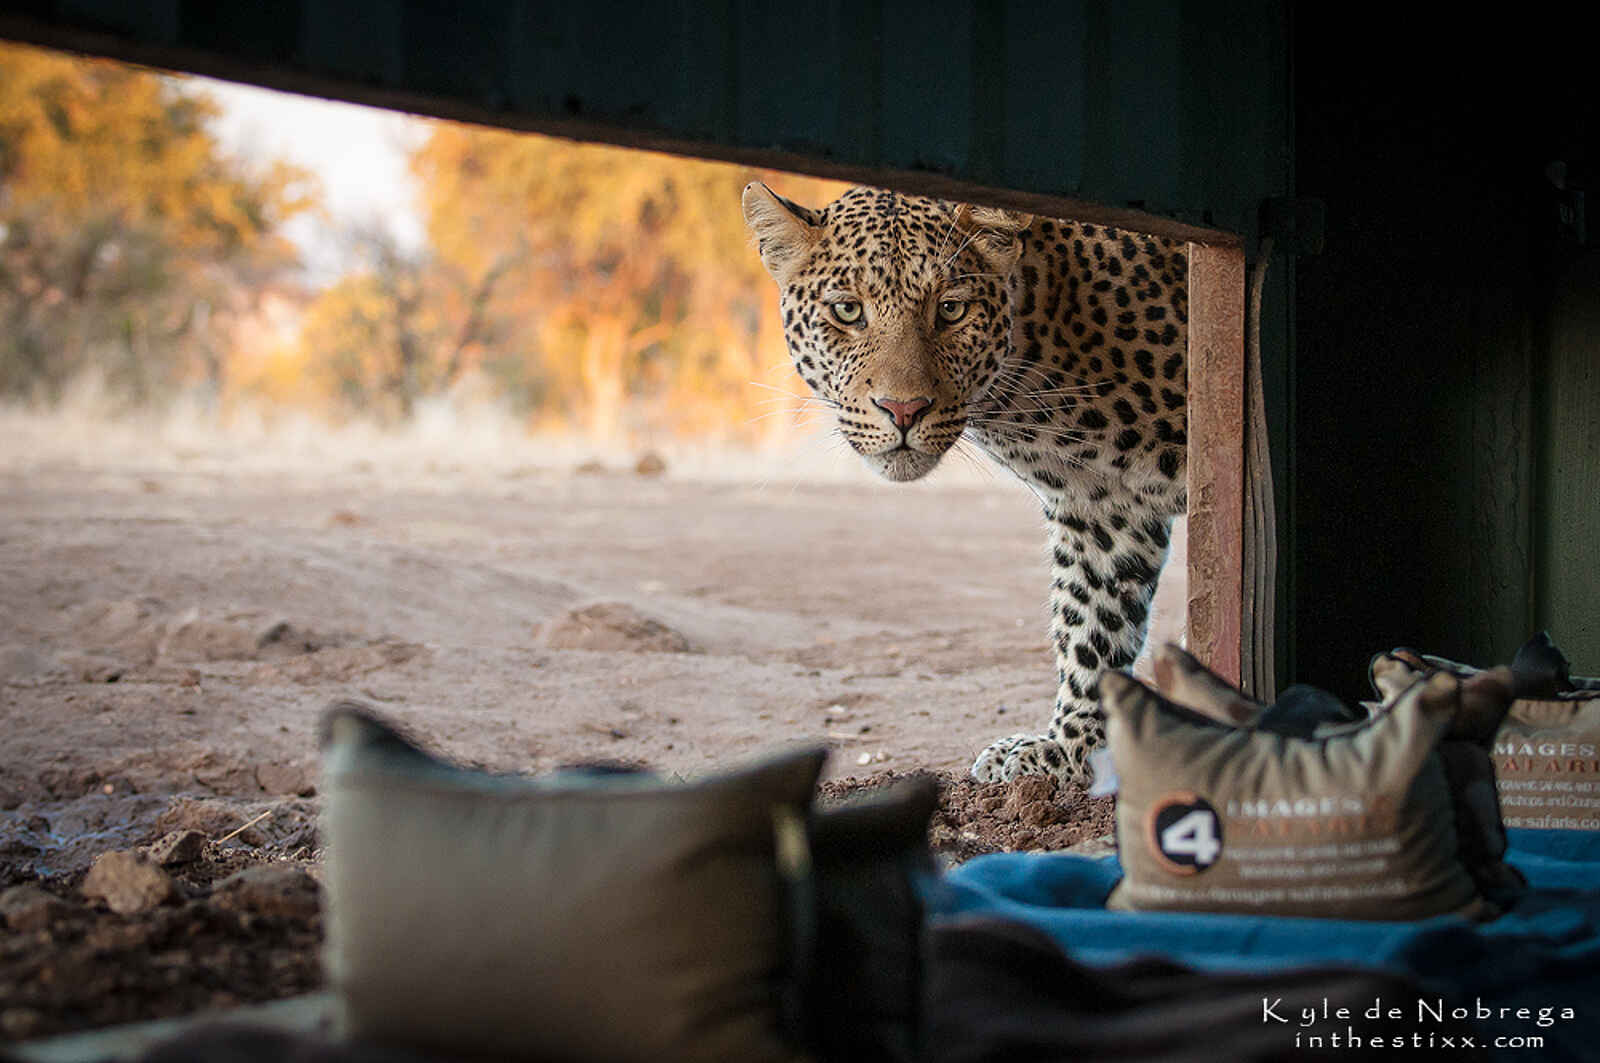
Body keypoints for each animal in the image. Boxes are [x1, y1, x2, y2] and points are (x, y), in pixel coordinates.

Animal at [743, 183, 1188, 784]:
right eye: (847, 310)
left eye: (951, 310)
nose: (903, 410)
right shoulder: (1105, 503)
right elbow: (1094, 620)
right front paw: (1071, 751)